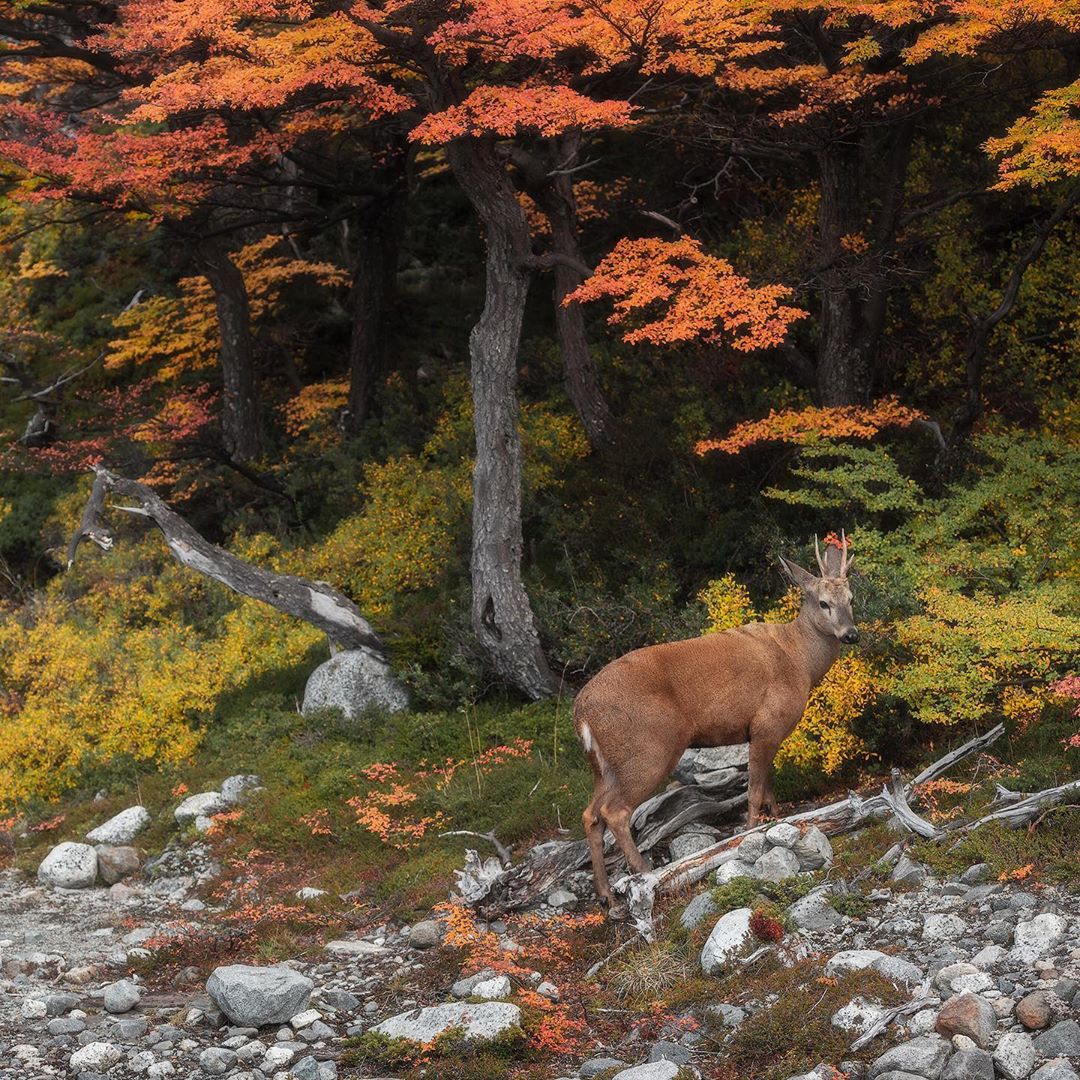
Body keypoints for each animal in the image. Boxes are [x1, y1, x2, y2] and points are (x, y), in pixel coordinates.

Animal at [574, 535, 859, 915]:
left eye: (852, 599)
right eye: (824, 603)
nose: (851, 634)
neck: (800, 660)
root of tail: (581, 711)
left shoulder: (765, 732)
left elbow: (768, 786)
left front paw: (778, 820)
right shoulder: (767, 722)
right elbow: (754, 791)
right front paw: (748, 835)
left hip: (604, 765)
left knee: (590, 814)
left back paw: (606, 893)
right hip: (649, 750)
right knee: (614, 812)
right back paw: (646, 874)